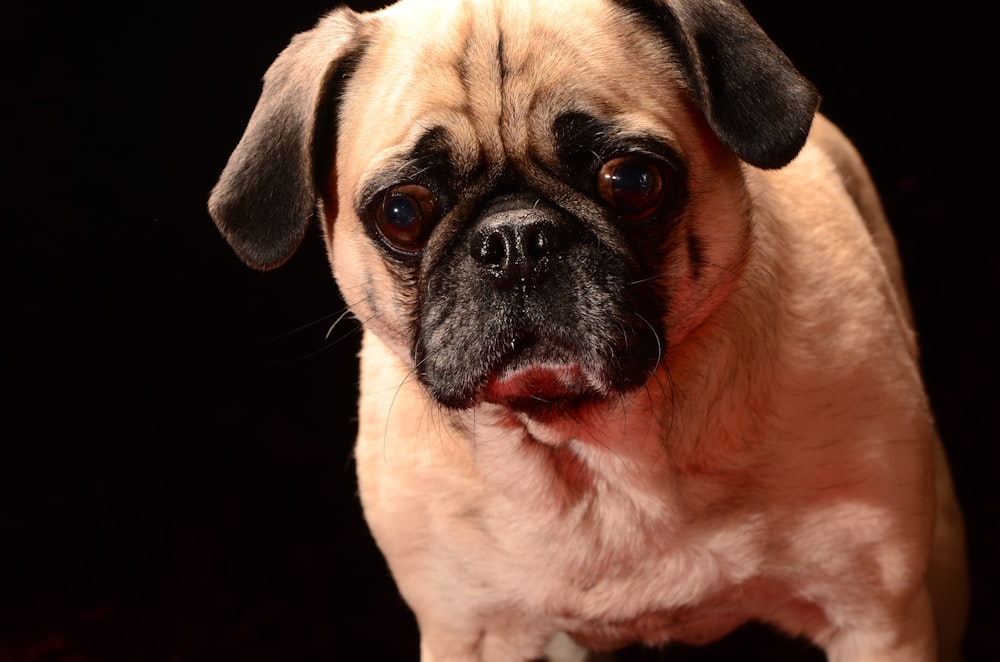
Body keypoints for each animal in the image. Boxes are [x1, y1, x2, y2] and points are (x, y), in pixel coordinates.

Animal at [209, 0, 968, 660]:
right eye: (401, 212)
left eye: (632, 180)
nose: (516, 241)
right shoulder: (469, 631)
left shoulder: (875, 619)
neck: (597, 455)